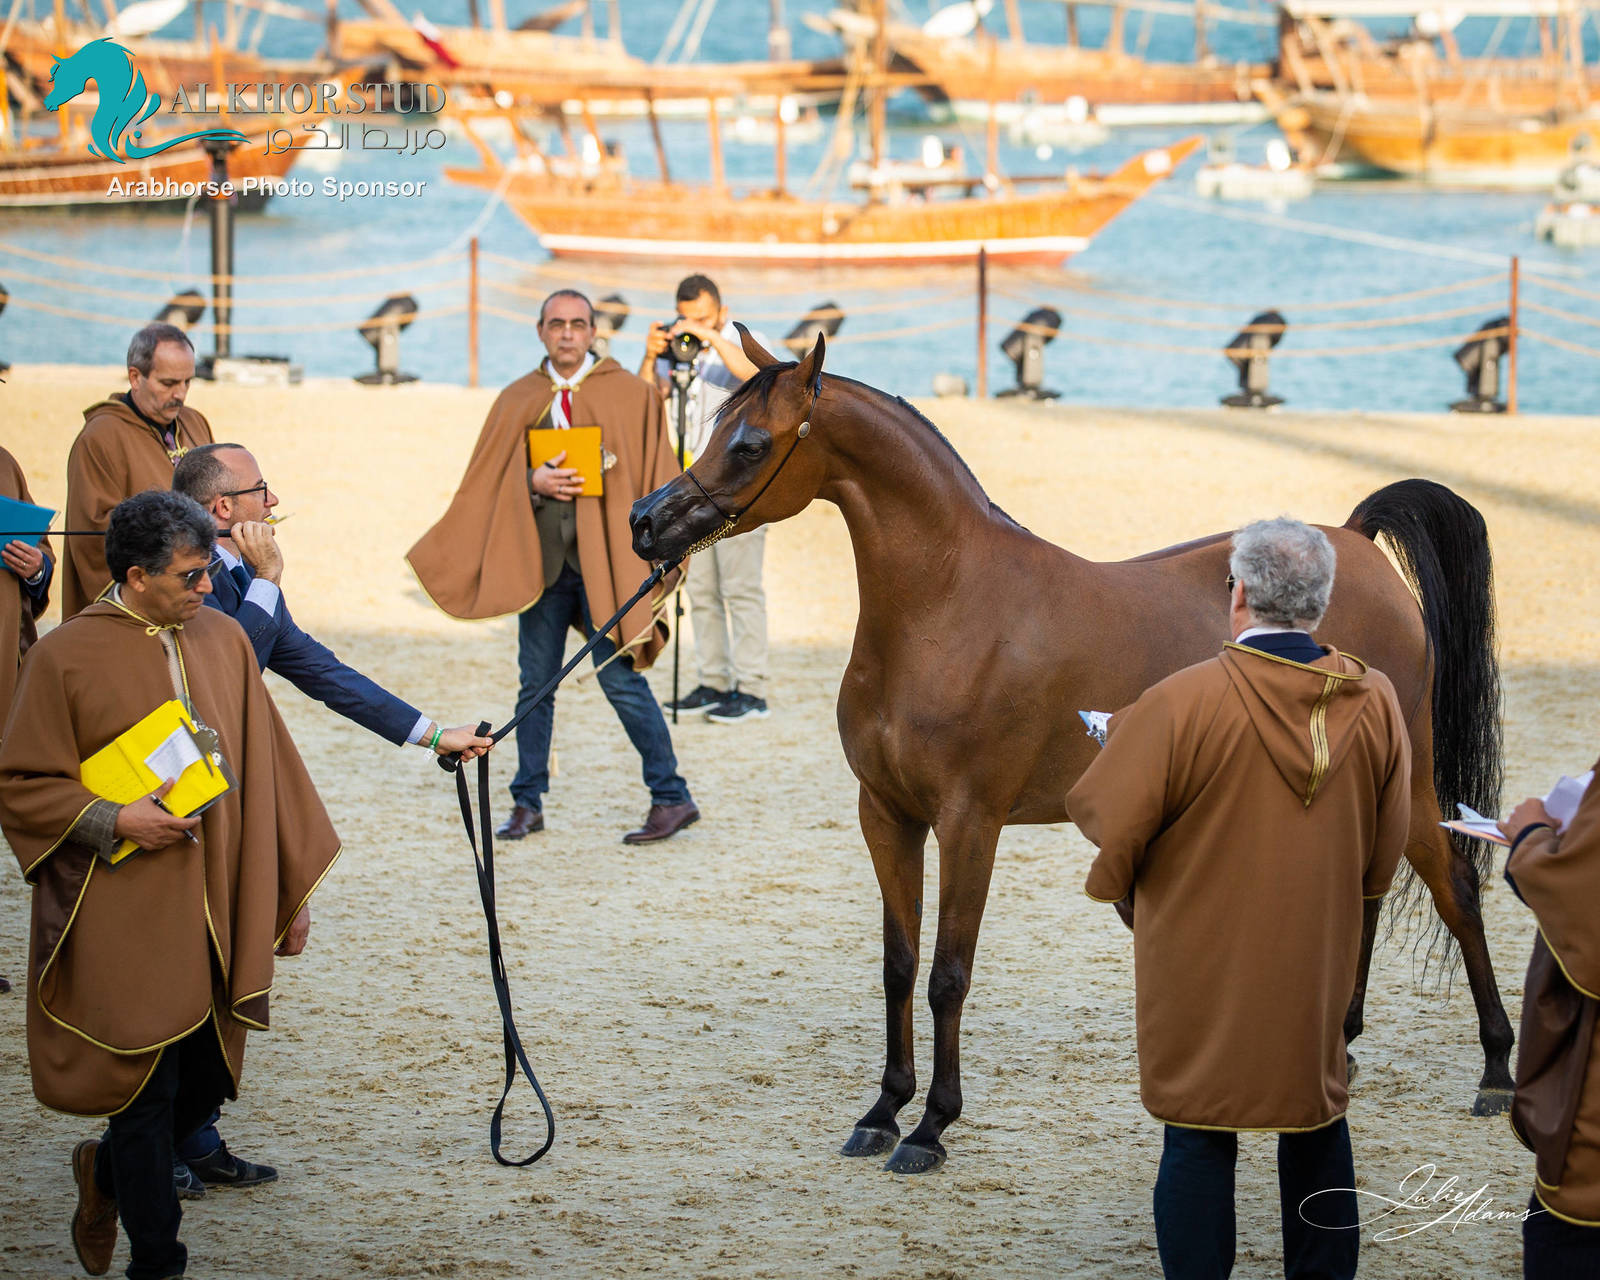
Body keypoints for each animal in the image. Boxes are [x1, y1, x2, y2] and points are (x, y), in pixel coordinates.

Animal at [629, 330, 1510, 1175]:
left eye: (749, 443)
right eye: (712, 425)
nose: (645, 521)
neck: (948, 606)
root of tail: (1355, 546)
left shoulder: (970, 823)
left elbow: (948, 974)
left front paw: (932, 1127)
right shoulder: (886, 816)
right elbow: (899, 966)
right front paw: (881, 1111)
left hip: (1412, 786)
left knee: (1456, 889)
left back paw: (1497, 1071)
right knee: (1363, 893)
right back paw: (1341, 1043)